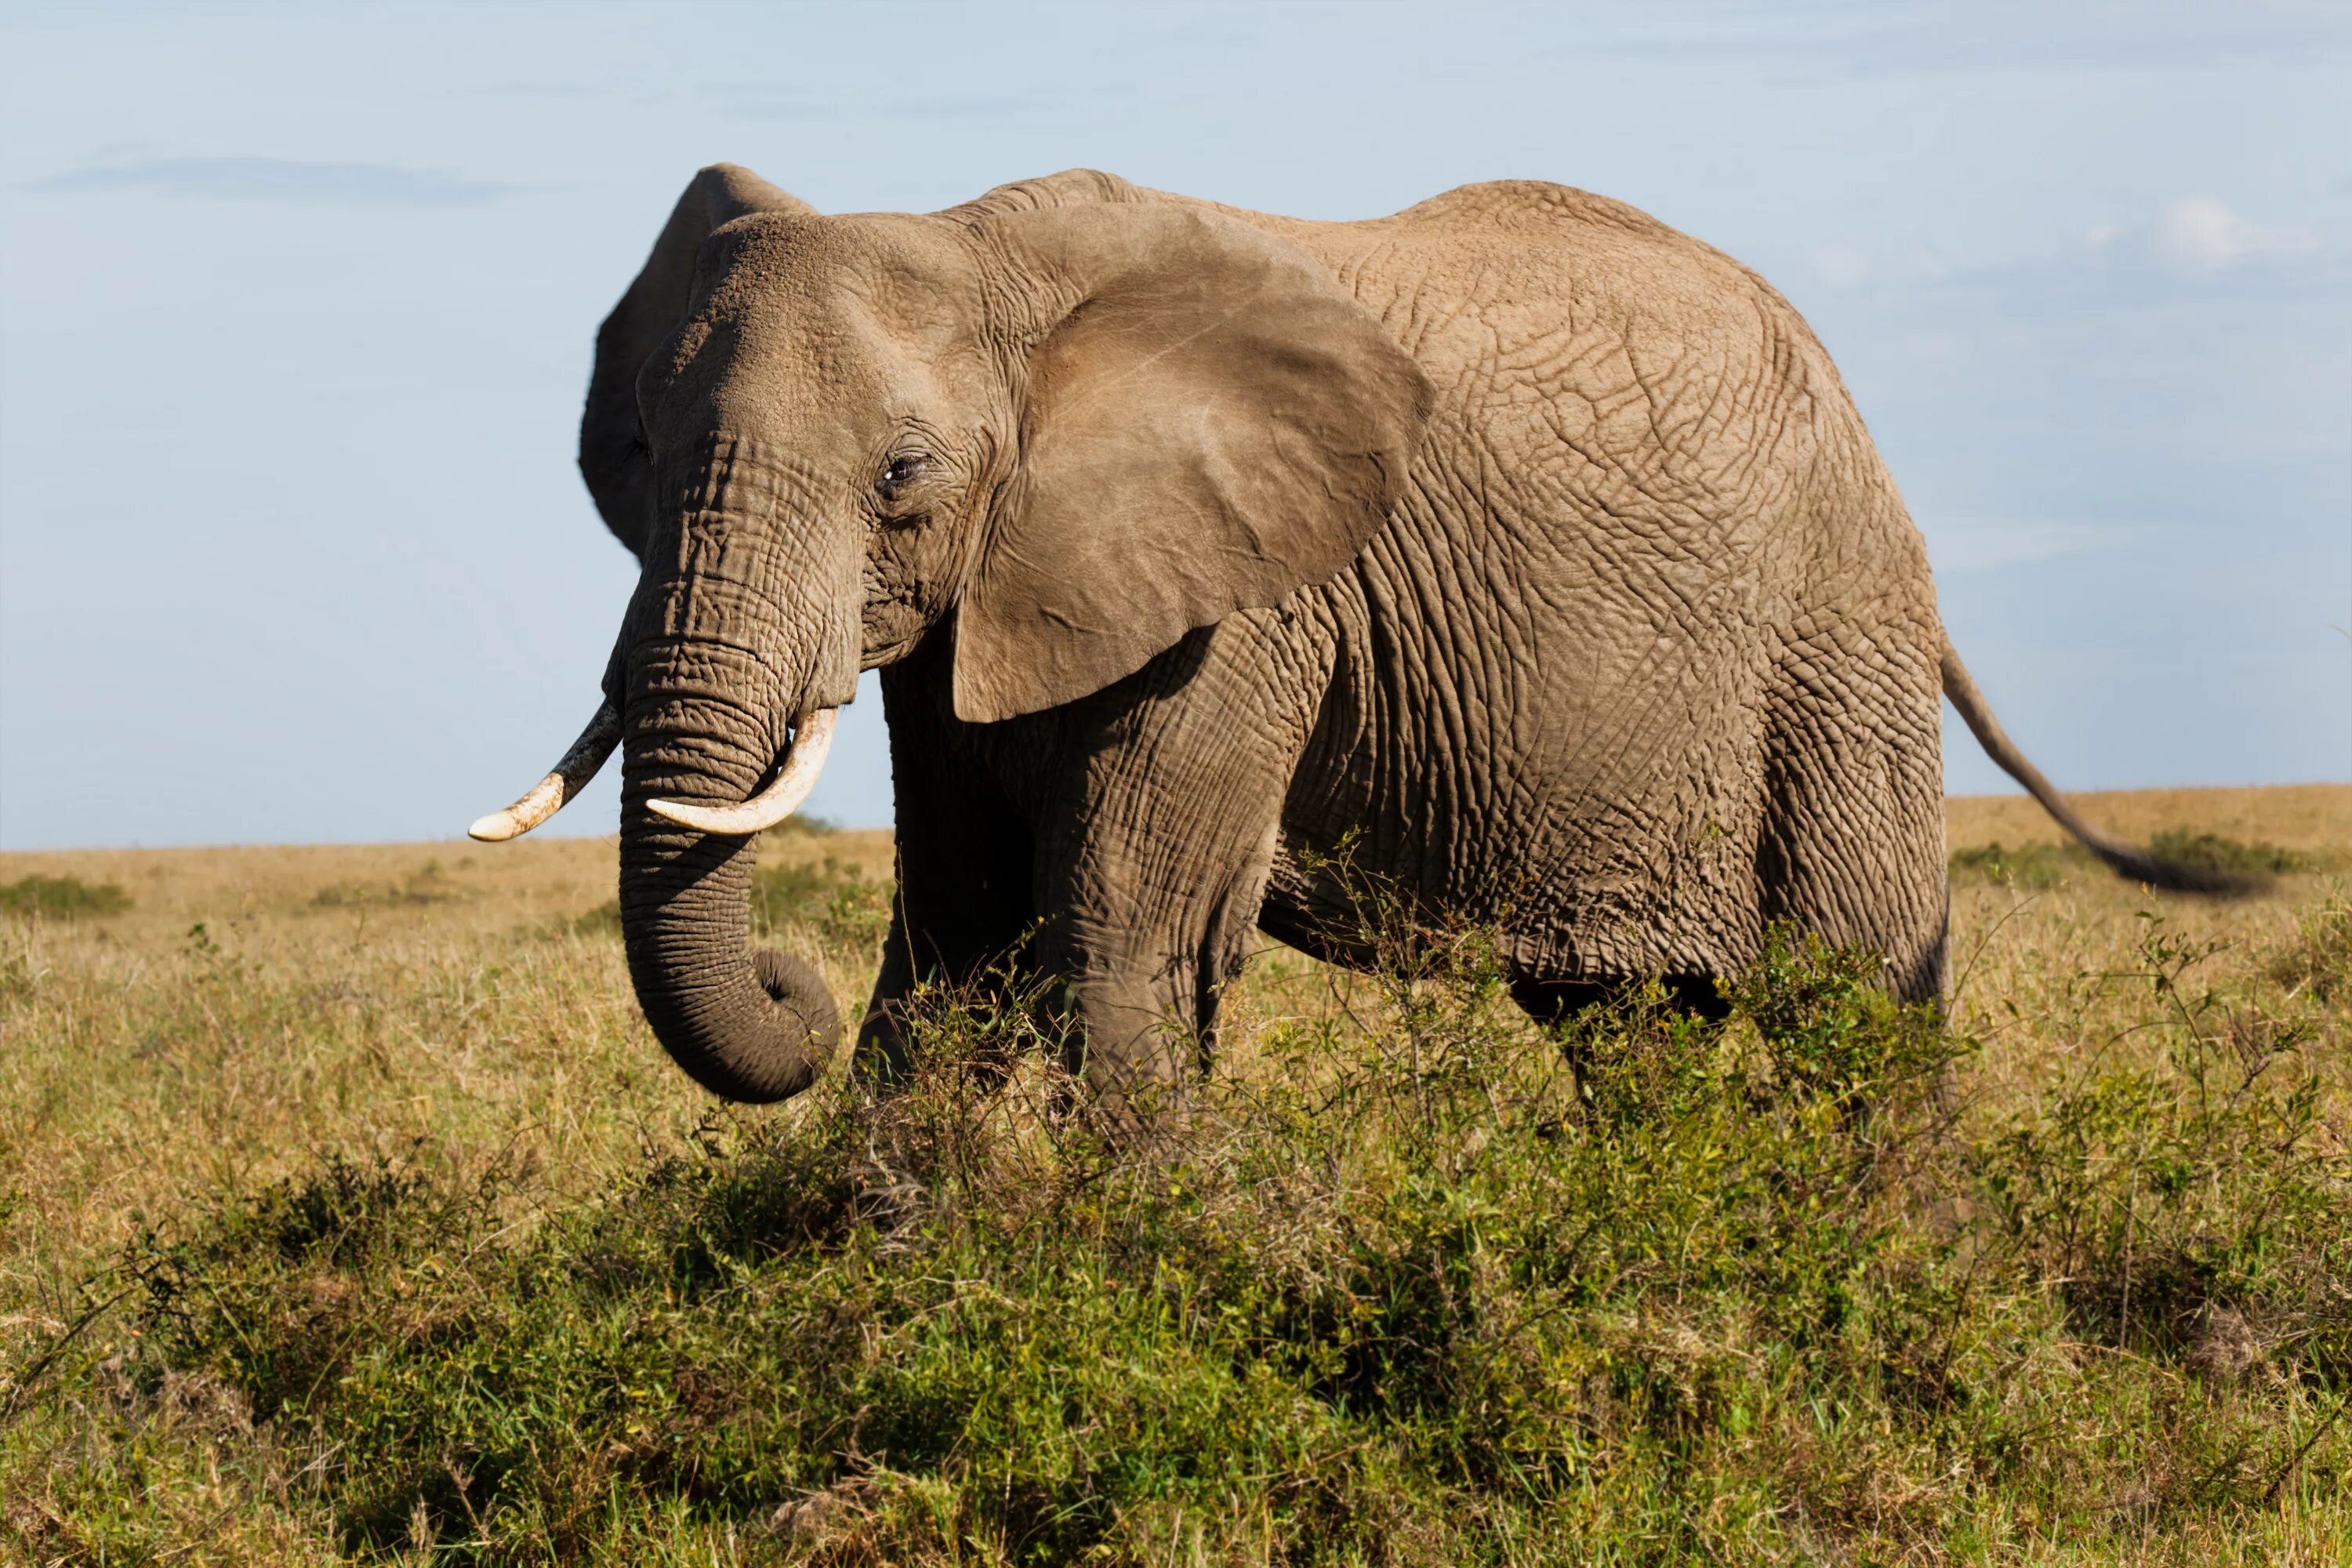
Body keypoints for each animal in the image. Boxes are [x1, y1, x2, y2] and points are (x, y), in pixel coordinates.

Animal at [463, 165, 2220, 1109]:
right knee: (1626, 1034)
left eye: (903, 477)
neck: (990, 251)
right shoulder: (993, 603)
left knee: (1859, 1004)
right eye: (634, 455)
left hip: (1834, 635)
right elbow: (954, 947)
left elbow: (1125, 945)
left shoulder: (1247, 608)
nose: (786, 976)